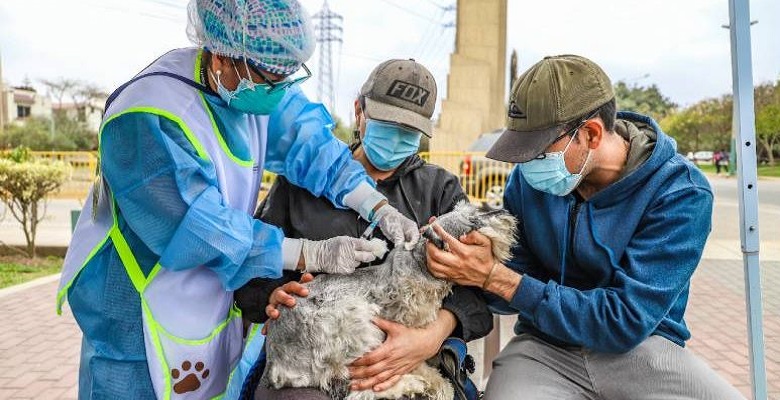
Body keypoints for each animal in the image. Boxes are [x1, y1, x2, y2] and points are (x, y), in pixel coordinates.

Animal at [264, 203, 516, 400]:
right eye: (473, 221)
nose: (503, 211)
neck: (420, 264)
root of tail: (275, 362)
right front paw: (433, 383)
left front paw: (437, 382)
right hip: (358, 325)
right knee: (359, 392)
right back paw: (413, 385)